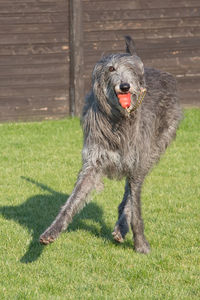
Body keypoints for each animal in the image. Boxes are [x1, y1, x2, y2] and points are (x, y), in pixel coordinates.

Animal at [39, 37, 182, 253]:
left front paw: (141, 244)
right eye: (111, 68)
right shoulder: (93, 161)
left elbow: (136, 206)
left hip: (155, 148)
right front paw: (52, 231)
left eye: (131, 69)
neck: (119, 121)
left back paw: (122, 226)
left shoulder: (136, 162)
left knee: (131, 192)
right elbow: (73, 199)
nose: (125, 86)